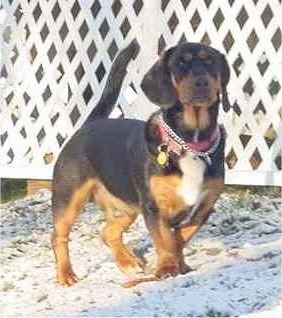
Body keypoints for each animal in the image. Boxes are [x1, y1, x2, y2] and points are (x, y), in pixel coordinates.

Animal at [51, 38, 230, 286]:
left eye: (210, 61)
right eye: (179, 63)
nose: (202, 82)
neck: (189, 143)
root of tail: (90, 124)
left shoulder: (203, 207)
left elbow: (180, 238)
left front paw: (180, 264)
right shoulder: (153, 207)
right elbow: (164, 239)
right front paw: (167, 267)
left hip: (126, 207)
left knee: (108, 232)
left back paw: (128, 262)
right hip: (69, 200)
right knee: (58, 237)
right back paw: (65, 274)